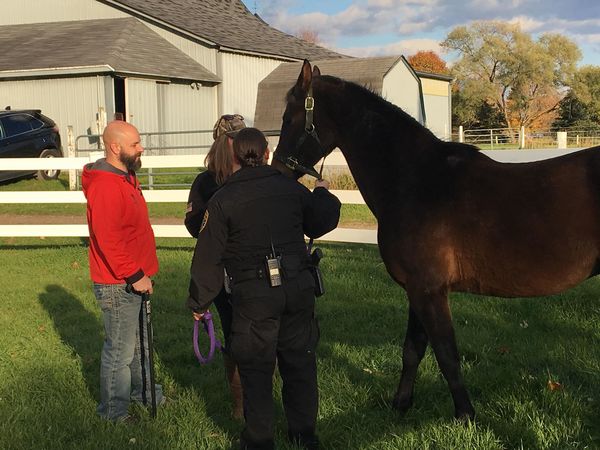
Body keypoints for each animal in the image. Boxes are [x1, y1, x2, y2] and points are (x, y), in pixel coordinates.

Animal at [272, 59, 600, 422]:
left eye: (288, 118)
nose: (277, 170)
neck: (414, 180)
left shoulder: (429, 289)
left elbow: (446, 354)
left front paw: (465, 415)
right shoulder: (417, 288)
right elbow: (412, 350)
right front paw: (401, 405)